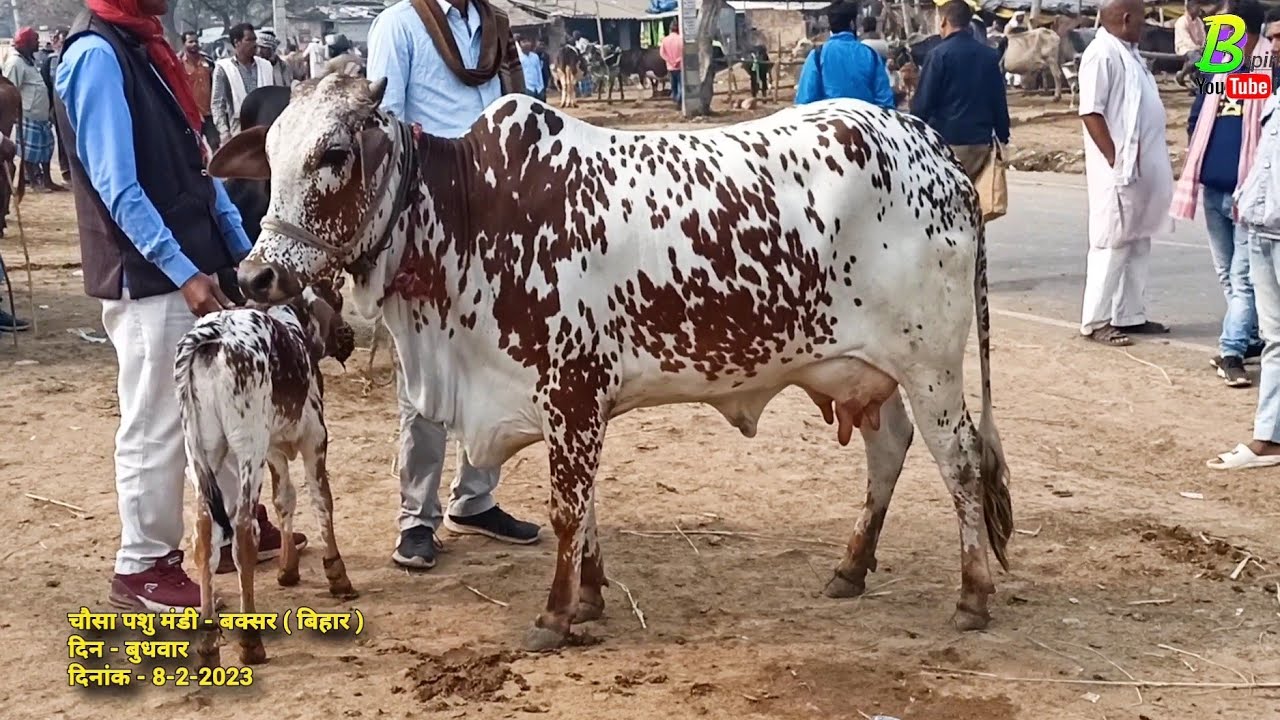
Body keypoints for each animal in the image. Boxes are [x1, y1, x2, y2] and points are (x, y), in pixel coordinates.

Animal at [176, 277, 357, 668]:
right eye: (337, 298)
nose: (348, 335)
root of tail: (213, 335)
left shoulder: (275, 447)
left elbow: (284, 499)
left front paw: (288, 568)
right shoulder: (314, 438)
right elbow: (322, 499)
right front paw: (337, 574)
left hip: (202, 452)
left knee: (203, 532)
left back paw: (209, 642)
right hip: (248, 449)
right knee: (244, 531)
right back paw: (250, 641)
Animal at [213, 75, 1013, 651]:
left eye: (335, 155)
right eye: (271, 157)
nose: (256, 275)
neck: (470, 214)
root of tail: (935, 149)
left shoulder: (571, 390)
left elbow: (568, 509)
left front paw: (555, 616)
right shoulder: (566, 403)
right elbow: (586, 504)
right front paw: (592, 597)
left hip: (932, 367)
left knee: (962, 463)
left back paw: (973, 596)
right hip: (865, 371)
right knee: (890, 451)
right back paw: (850, 567)